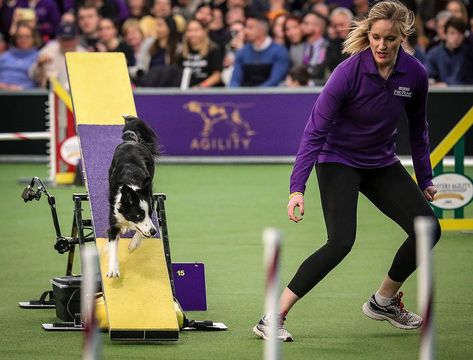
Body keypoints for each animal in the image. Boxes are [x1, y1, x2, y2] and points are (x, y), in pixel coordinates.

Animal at [106, 114, 159, 278]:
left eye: (149, 213)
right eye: (138, 215)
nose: (154, 232)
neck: (132, 187)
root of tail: (132, 141)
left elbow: (141, 231)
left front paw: (133, 244)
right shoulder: (113, 221)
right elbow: (112, 246)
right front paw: (113, 269)